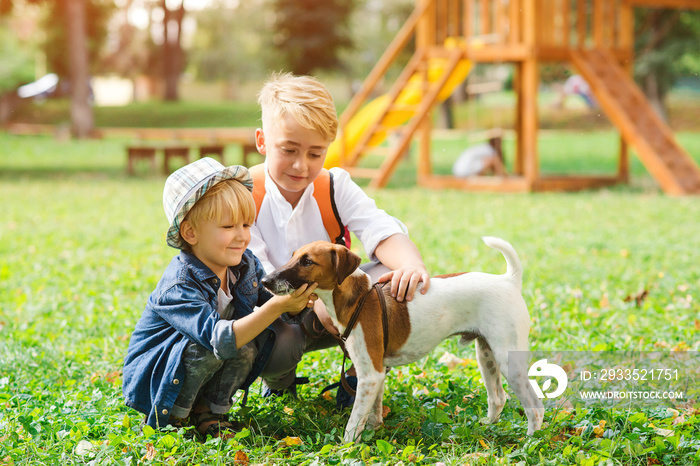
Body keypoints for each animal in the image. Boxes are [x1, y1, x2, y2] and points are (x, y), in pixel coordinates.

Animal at [260, 238, 544, 442]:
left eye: (307, 261)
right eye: (292, 256)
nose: (264, 281)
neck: (358, 299)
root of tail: (508, 281)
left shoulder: (370, 374)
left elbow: (353, 422)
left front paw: (345, 448)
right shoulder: (376, 374)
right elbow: (372, 411)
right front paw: (374, 430)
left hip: (510, 362)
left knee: (535, 405)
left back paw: (530, 440)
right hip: (486, 355)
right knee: (498, 398)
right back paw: (488, 427)